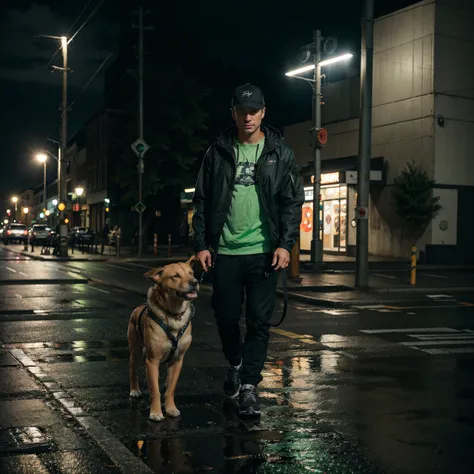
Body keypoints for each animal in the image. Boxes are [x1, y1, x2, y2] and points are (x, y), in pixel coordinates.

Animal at [127, 260, 199, 422]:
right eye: (176, 276)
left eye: (191, 273)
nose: (195, 282)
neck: (173, 314)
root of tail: (138, 308)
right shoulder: (152, 361)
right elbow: (155, 390)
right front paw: (155, 412)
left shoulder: (177, 361)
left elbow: (171, 389)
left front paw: (170, 408)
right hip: (135, 352)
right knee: (133, 370)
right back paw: (134, 390)